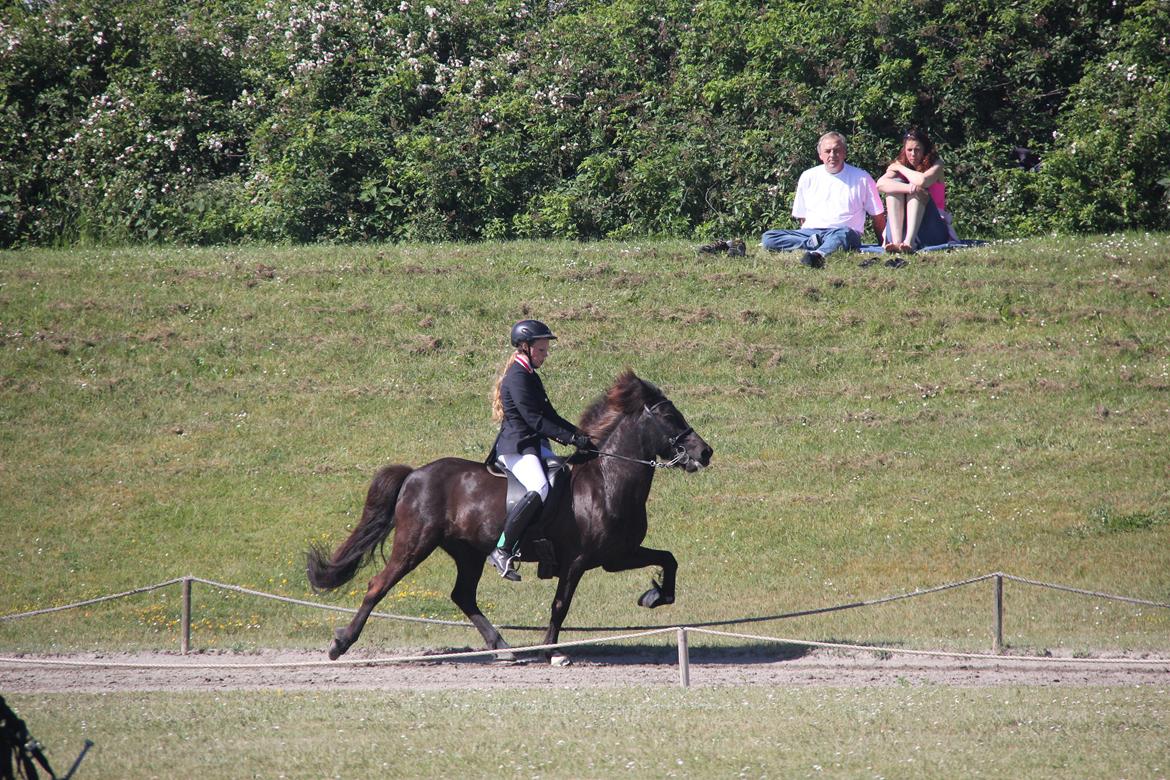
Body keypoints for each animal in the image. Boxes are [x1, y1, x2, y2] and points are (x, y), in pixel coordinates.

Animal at [308, 371, 711, 659]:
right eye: (670, 416)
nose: (705, 452)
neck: (607, 481)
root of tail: (415, 474)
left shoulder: (617, 556)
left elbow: (669, 559)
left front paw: (654, 596)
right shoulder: (577, 560)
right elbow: (561, 604)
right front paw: (552, 651)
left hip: (467, 552)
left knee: (463, 595)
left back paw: (502, 647)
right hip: (414, 544)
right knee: (379, 585)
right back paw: (341, 644)